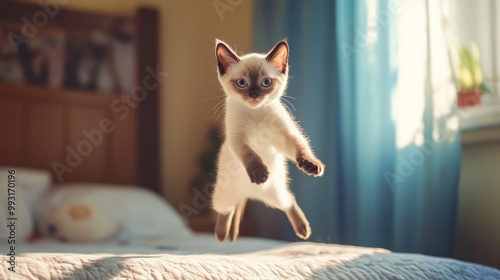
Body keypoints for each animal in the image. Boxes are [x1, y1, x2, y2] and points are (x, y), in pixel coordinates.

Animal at [211, 39, 324, 243]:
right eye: (242, 83)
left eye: (266, 82)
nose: (255, 94)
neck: (255, 112)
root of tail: (247, 194)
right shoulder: (238, 139)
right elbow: (250, 154)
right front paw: (259, 173)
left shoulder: (285, 135)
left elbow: (300, 147)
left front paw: (310, 164)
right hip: (222, 197)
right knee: (225, 210)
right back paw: (221, 234)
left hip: (274, 195)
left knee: (288, 200)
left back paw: (303, 229)